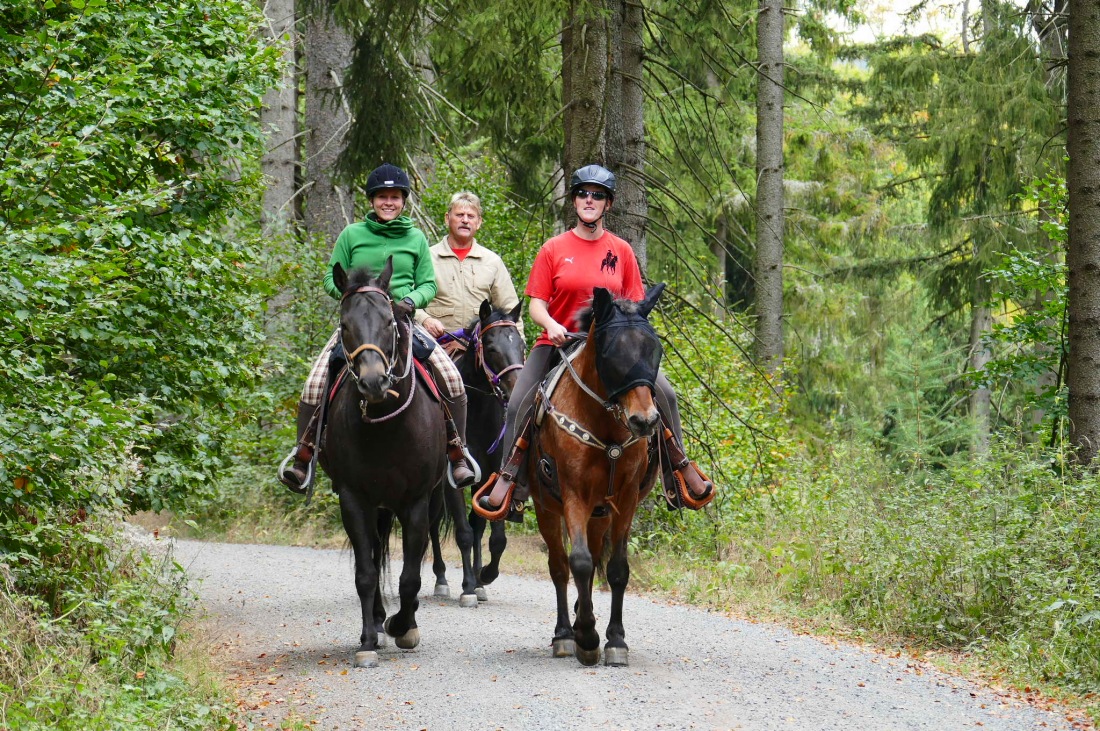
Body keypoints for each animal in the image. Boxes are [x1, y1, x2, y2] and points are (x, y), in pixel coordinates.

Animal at [319, 259, 446, 668]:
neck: (385, 424)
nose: (374, 382)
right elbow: (365, 571)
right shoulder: (353, 499)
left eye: (390, 322)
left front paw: (403, 627)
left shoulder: (416, 502)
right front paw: (368, 640)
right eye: (345, 325)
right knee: (374, 556)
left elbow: (410, 577)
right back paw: (375, 618)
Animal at [523, 283, 660, 668]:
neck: (606, 428)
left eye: (655, 349)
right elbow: (579, 562)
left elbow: (617, 569)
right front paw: (586, 636)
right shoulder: (573, 495)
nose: (645, 421)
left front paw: (615, 640)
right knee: (559, 566)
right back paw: (564, 634)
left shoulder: (626, 500)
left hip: (600, 513)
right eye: (613, 353)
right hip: (547, 508)